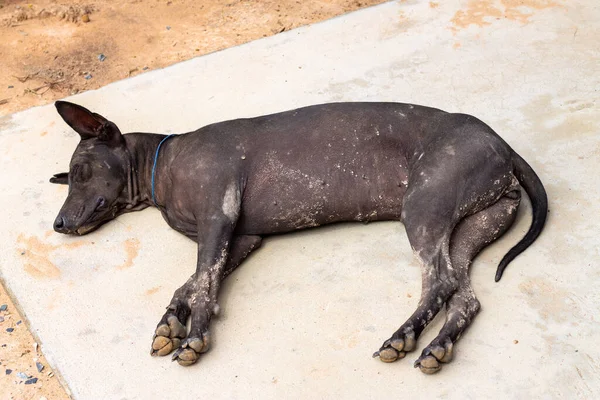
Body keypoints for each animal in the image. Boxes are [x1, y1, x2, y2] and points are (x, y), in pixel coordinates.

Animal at [51, 101, 548, 376]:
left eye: (81, 171)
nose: (57, 224)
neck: (162, 167)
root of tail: (502, 145)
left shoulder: (218, 219)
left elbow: (204, 283)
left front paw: (195, 336)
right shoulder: (242, 237)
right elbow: (190, 283)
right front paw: (172, 320)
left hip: (424, 209)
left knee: (440, 282)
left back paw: (402, 336)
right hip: (474, 223)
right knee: (465, 297)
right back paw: (436, 347)